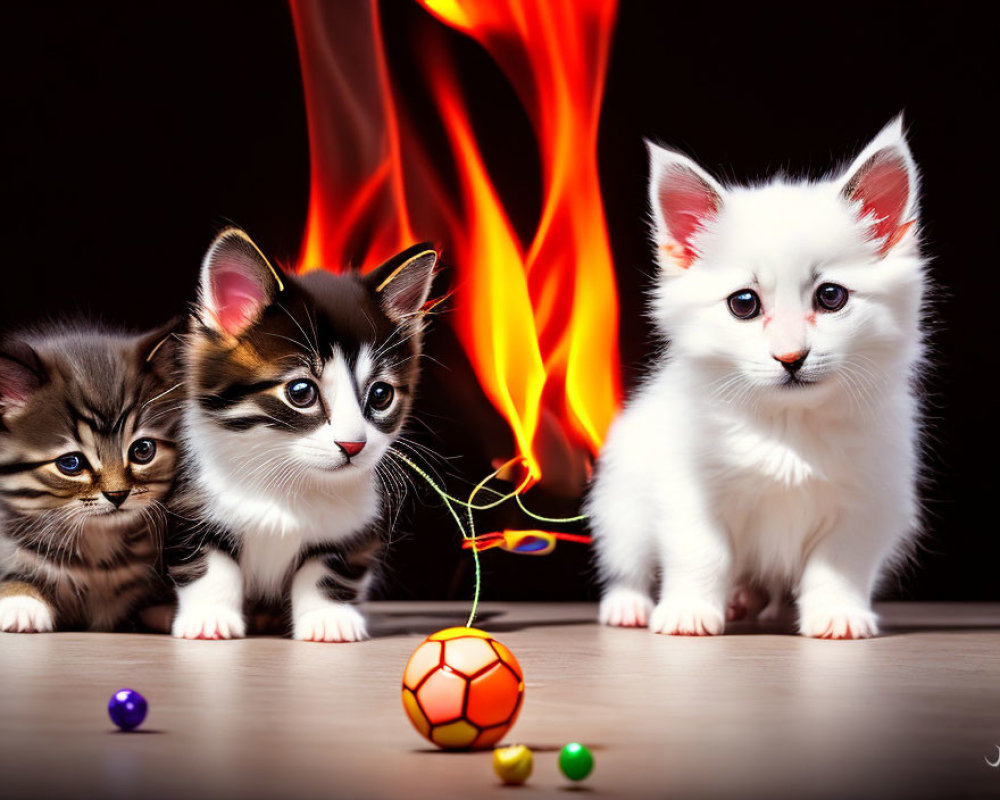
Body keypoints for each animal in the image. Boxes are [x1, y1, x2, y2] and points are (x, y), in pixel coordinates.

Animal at [169, 228, 438, 640]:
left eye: (381, 395)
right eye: (300, 392)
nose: (353, 445)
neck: (285, 478)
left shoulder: (355, 525)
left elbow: (327, 567)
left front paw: (330, 619)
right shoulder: (186, 502)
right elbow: (207, 560)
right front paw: (209, 618)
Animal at [588, 117, 924, 636]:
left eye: (831, 297)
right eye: (744, 304)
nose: (791, 357)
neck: (788, 427)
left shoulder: (868, 501)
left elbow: (836, 564)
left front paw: (837, 615)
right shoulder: (690, 494)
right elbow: (702, 554)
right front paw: (689, 612)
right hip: (621, 504)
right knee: (630, 562)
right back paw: (630, 606)